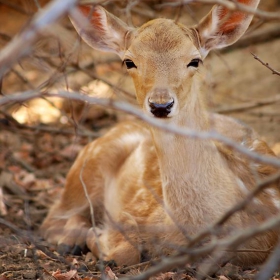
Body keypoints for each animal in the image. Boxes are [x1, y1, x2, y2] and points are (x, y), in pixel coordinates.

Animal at [41, 0, 280, 266]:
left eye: (195, 60)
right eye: (129, 61)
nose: (161, 105)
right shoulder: (131, 210)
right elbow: (127, 249)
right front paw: (98, 239)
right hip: (91, 162)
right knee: (53, 218)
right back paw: (70, 240)